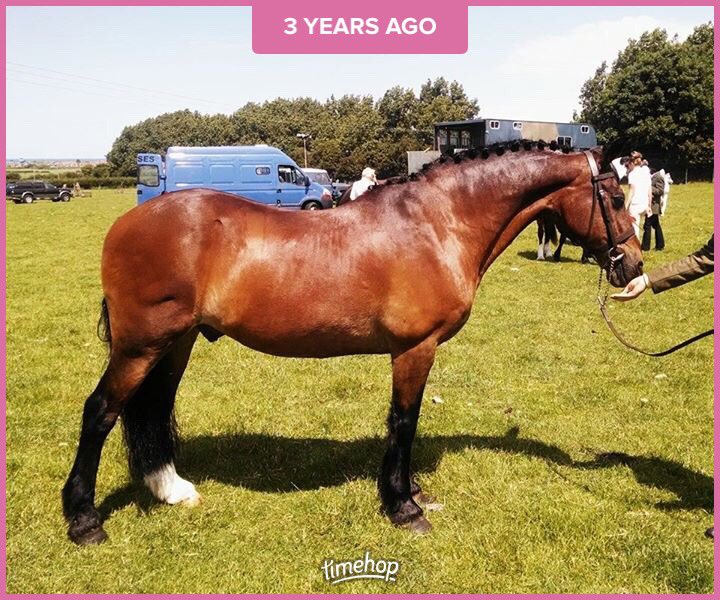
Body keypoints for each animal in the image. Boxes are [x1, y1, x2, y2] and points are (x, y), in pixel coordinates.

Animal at [62, 143, 643, 545]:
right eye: (615, 198)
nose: (633, 267)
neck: (437, 224)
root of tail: (129, 221)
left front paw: (410, 493)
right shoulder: (415, 349)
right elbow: (404, 421)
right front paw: (403, 506)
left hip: (174, 344)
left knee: (153, 408)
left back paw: (170, 489)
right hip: (140, 346)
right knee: (101, 411)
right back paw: (84, 519)